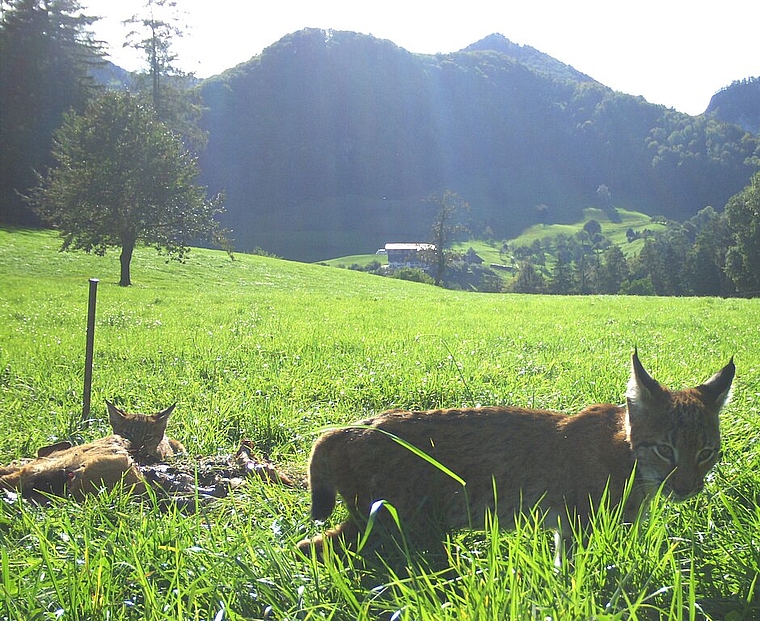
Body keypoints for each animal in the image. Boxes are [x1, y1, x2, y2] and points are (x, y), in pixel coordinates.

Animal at [298, 348, 736, 556]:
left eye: (707, 453)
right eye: (665, 450)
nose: (688, 488)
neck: (633, 462)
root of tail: (348, 427)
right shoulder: (580, 525)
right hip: (394, 522)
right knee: (315, 548)